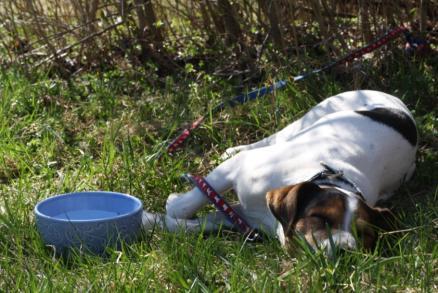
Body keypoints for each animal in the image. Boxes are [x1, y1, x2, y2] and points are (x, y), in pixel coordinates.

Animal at [144, 89, 418, 253]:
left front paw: (152, 220)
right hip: (308, 120)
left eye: (364, 235)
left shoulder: (245, 219)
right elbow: (192, 200)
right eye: (320, 218)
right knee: (271, 139)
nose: (345, 250)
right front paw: (172, 205)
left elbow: (202, 223)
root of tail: (396, 101)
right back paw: (233, 149)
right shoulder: (236, 169)